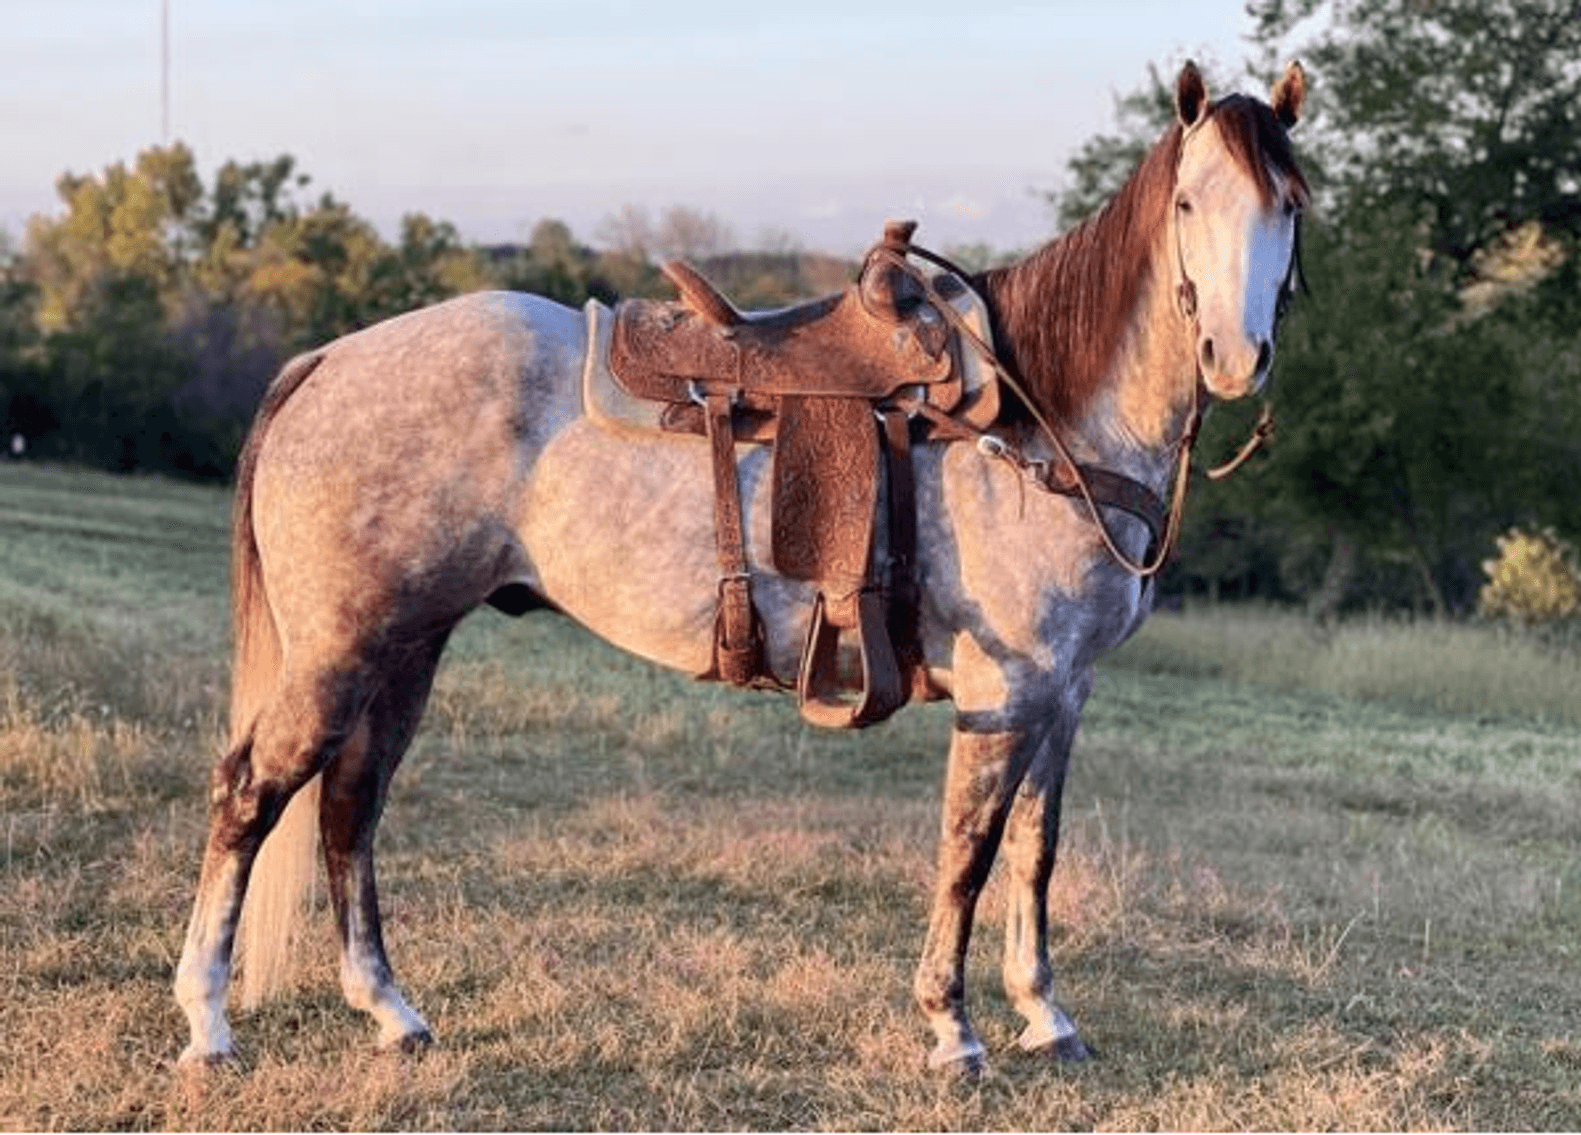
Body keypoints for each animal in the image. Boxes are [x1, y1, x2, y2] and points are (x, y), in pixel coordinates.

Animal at [174, 60, 1309, 1075]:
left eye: (1290, 204)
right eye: (1190, 201)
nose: (1235, 358)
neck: (1038, 424)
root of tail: (327, 360)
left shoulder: (1064, 693)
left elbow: (1035, 853)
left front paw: (1047, 1018)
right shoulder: (1006, 690)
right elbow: (969, 856)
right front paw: (953, 1030)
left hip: (407, 646)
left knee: (350, 804)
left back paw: (390, 1010)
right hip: (340, 650)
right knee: (250, 795)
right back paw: (208, 1025)